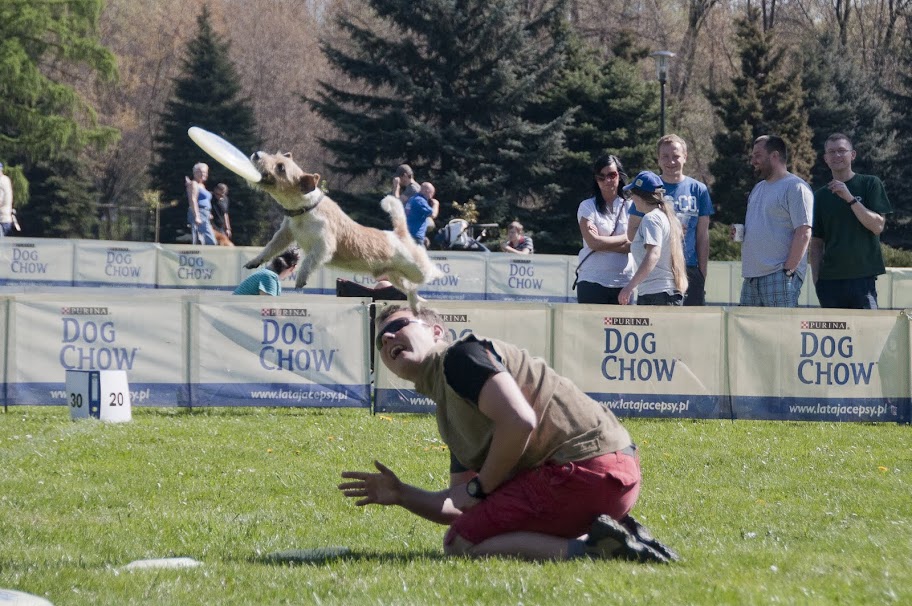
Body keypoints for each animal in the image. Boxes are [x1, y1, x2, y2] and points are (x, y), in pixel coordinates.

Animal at [246, 151, 441, 310]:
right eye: (275, 155)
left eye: (281, 167)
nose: (256, 154)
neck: (306, 208)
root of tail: (399, 234)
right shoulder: (285, 234)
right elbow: (270, 248)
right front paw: (253, 262)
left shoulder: (324, 245)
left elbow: (308, 261)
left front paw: (301, 279)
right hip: (395, 277)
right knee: (411, 290)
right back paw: (417, 303)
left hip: (416, 269)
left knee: (429, 271)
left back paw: (438, 274)